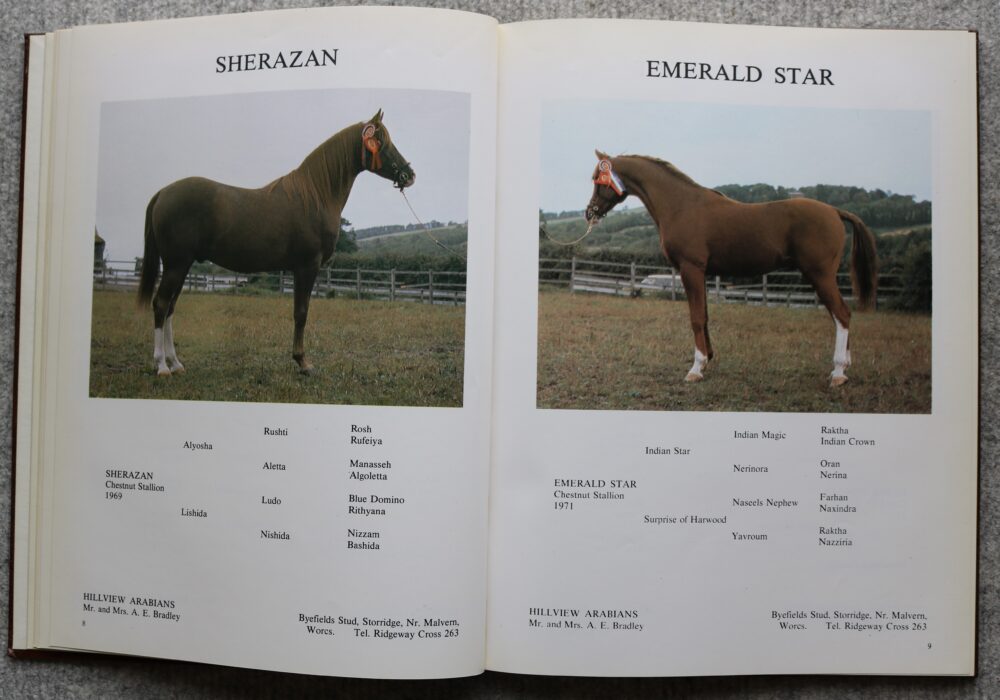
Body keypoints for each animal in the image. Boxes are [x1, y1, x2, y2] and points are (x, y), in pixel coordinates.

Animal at [137, 109, 414, 376]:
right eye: (382, 141)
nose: (409, 174)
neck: (316, 195)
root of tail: (163, 192)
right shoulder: (307, 266)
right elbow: (301, 313)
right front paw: (303, 362)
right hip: (176, 265)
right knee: (161, 304)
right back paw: (162, 366)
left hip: (182, 266)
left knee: (170, 307)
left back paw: (176, 363)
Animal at [584, 150, 878, 387]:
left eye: (598, 180)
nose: (590, 212)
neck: (681, 205)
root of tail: (835, 211)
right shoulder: (701, 273)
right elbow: (704, 316)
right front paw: (707, 360)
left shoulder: (691, 269)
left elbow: (695, 318)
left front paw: (695, 369)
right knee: (840, 315)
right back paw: (843, 369)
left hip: (820, 274)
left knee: (841, 314)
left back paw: (838, 373)